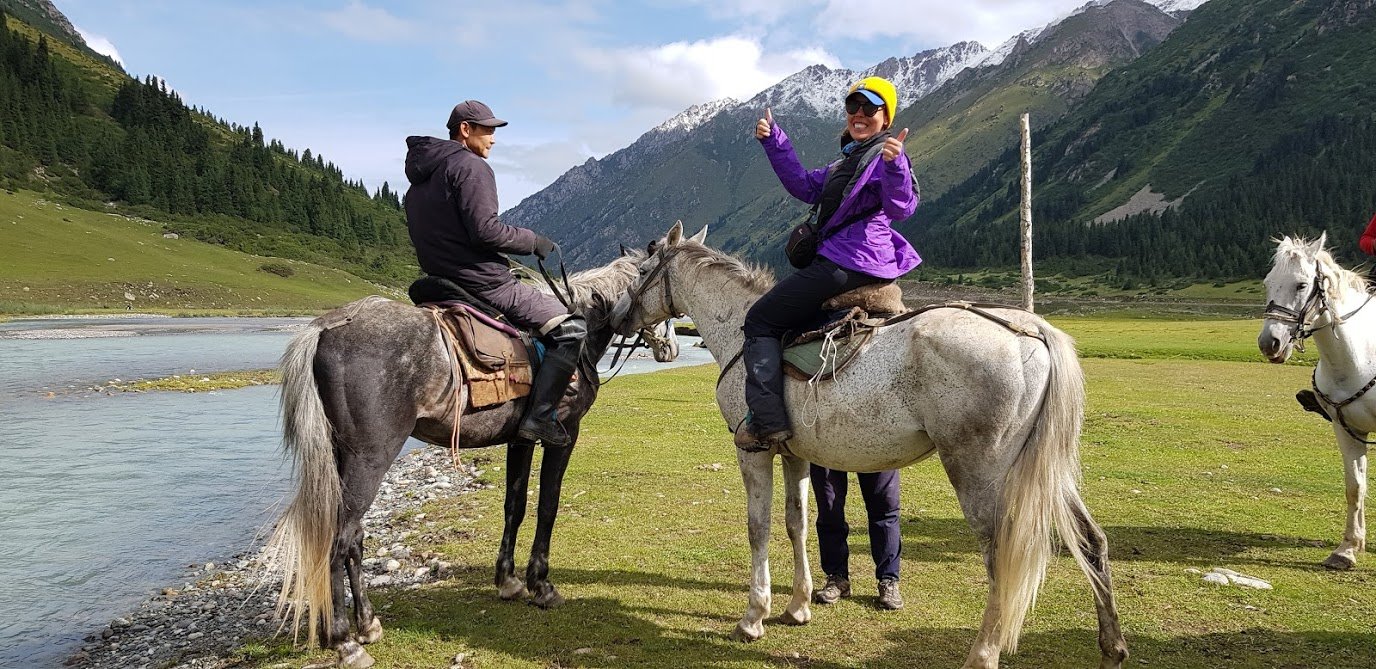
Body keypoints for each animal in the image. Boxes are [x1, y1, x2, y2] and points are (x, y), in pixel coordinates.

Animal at [264, 246, 683, 669]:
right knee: (340, 538)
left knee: (354, 539)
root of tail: (328, 327)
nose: (672, 348)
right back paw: (344, 640)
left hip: (341, 460)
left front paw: (509, 581)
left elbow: (515, 506)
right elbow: (548, 506)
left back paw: (366, 624)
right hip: (369, 459)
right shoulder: (563, 437)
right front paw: (541, 585)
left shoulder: (520, 441)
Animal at [612, 222, 1127, 669]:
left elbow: (758, 528)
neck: (740, 328)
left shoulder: (752, 451)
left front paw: (753, 617)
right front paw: (798, 606)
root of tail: (1031, 329)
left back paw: (982, 655)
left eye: (641, 271)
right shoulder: (795, 456)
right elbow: (798, 525)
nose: (619, 318)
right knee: (1092, 540)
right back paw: (1112, 649)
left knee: (999, 555)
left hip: (981, 474)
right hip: (1046, 472)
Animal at [1258, 233, 1373, 570]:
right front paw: (1348, 548)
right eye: (1268, 283)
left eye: (1300, 285)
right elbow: (1355, 486)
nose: (1269, 343)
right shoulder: (1347, 430)